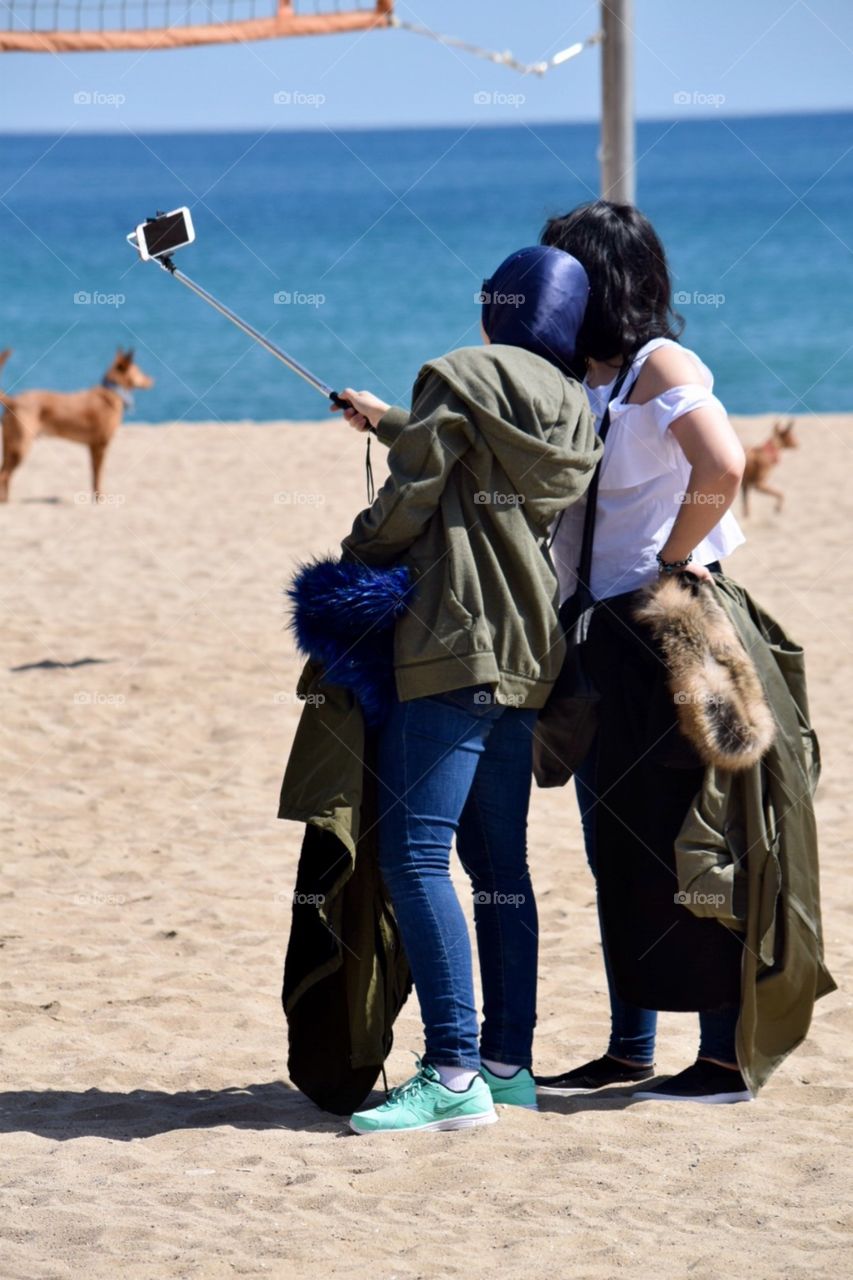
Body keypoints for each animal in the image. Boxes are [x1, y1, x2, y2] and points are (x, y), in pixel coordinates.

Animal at [0, 348, 153, 501]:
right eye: (139, 370)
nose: (152, 379)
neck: (112, 392)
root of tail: (14, 401)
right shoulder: (100, 446)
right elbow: (98, 476)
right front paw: (100, 499)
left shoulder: (92, 447)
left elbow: (94, 476)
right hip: (20, 448)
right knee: (4, 476)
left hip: (9, 446)